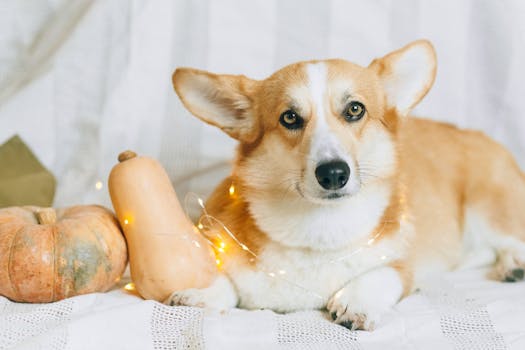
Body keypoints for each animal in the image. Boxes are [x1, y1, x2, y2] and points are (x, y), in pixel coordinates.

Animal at [166, 41, 524, 330]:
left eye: (355, 109)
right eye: (289, 117)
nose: (334, 173)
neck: (318, 231)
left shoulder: (402, 266)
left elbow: (382, 274)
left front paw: (357, 302)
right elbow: (227, 283)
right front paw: (202, 294)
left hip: (487, 210)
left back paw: (512, 265)